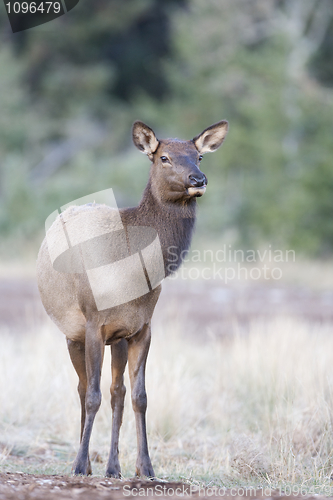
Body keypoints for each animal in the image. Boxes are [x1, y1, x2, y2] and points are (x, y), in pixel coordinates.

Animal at [36, 119, 228, 478]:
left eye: (198, 156)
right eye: (164, 157)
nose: (198, 180)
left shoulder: (141, 328)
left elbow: (139, 396)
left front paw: (145, 467)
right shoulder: (94, 323)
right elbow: (92, 395)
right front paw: (80, 465)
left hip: (118, 339)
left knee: (117, 392)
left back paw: (113, 466)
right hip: (72, 333)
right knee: (83, 388)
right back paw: (84, 462)